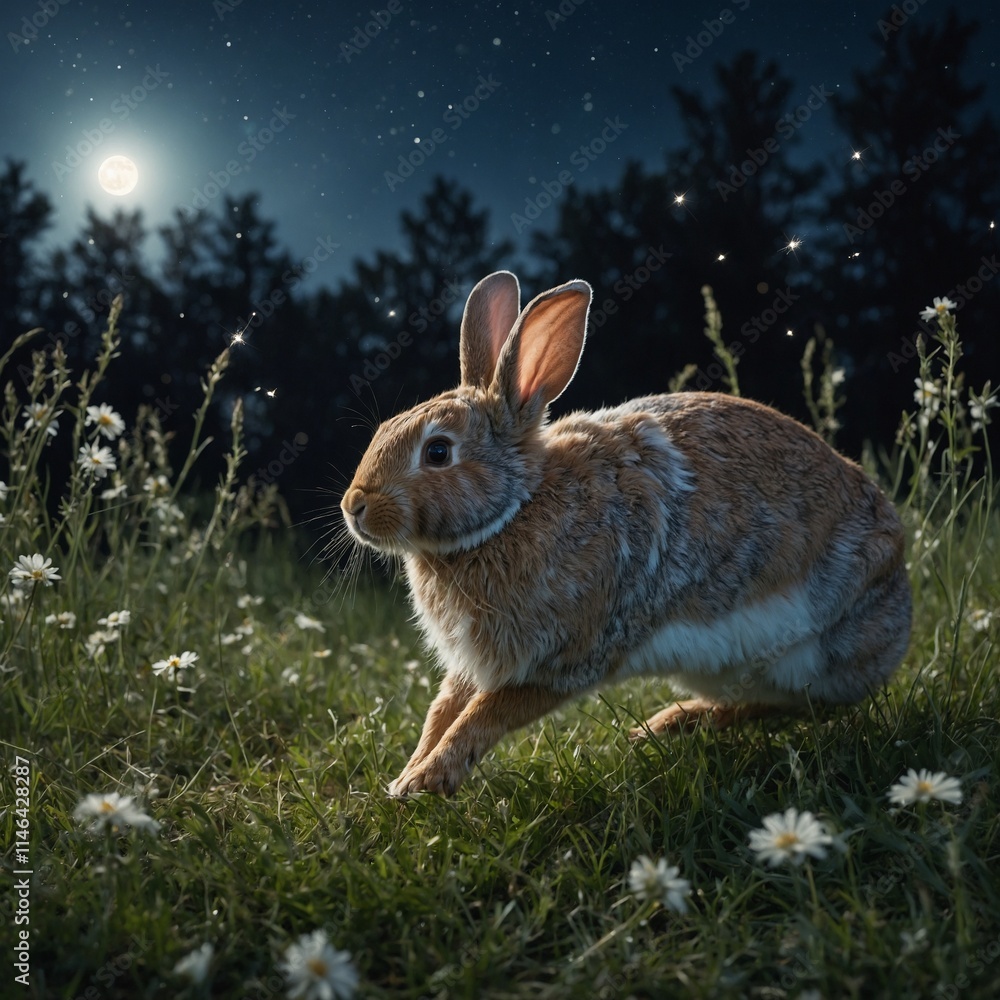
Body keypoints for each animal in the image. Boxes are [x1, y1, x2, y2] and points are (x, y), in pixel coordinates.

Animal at [340, 271, 912, 797]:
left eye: (438, 452)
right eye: (386, 428)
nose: (354, 507)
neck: (515, 509)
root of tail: (899, 601)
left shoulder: (564, 658)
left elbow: (485, 713)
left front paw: (425, 781)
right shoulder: (476, 664)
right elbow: (442, 710)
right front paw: (407, 775)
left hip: (813, 652)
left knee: (798, 705)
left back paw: (667, 724)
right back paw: (671, 723)